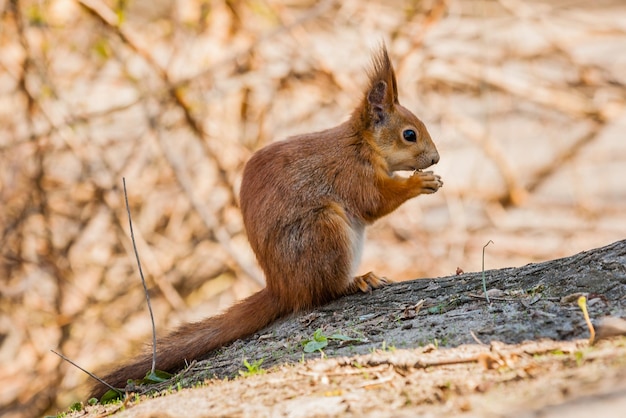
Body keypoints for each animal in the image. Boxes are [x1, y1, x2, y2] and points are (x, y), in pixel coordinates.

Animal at [90, 44, 442, 400]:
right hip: (322, 230)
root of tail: (280, 288)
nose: (436, 158)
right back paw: (357, 280)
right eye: (409, 135)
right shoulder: (352, 173)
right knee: (323, 291)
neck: (362, 144)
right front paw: (420, 183)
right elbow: (374, 201)